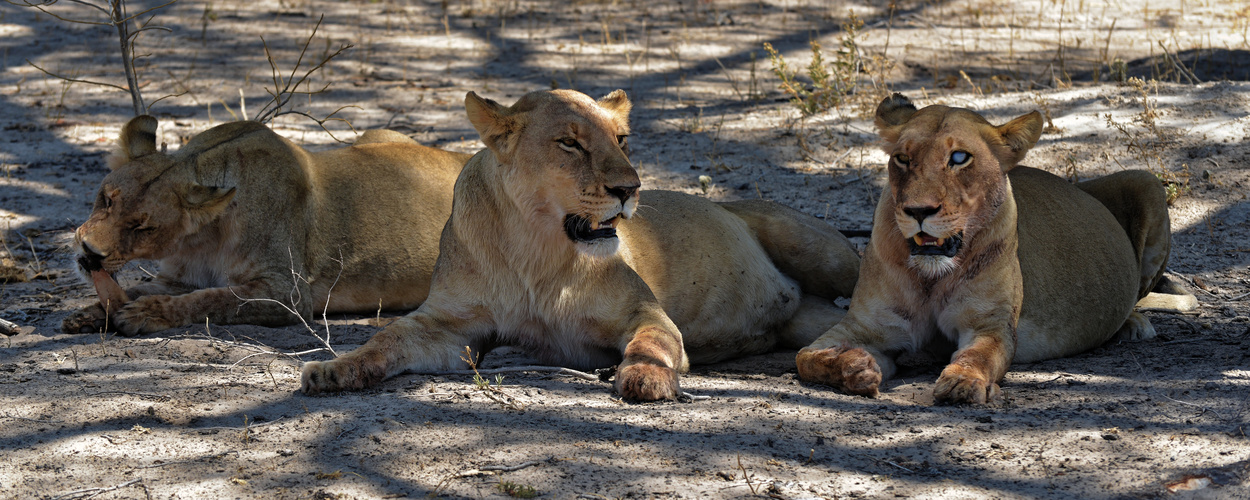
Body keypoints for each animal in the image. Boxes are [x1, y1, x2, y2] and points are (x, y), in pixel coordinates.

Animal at [62, 116, 470, 335]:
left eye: (143, 228)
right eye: (106, 199)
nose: (88, 251)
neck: (200, 238)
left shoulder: (289, 293)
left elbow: (215, 299)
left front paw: (146, 314)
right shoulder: (177, 279)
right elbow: (137, 288)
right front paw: (89, 314)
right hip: (378, 135)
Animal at [296, 90, 860, 400]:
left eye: (622, 140)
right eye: (570, 143)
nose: (630, 188)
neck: (535, 250)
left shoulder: (644, 313)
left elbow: (652, 343)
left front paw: (647, 380)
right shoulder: (449, 326)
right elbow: (386, 339)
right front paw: (333, 370)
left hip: (824, 252)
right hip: (806, 319)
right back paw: (851, 367)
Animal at [795, 95, 1195, 405]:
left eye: (959, 158)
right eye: (902, 159)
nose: (918, 211)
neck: (930, 277)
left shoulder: (990, 324)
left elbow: (978, 355)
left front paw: (962, 382)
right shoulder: (867, 325)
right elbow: (805, 356)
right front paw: (853, 366)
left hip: (1147, 182)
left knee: (1140, 294)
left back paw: (1134, 323)